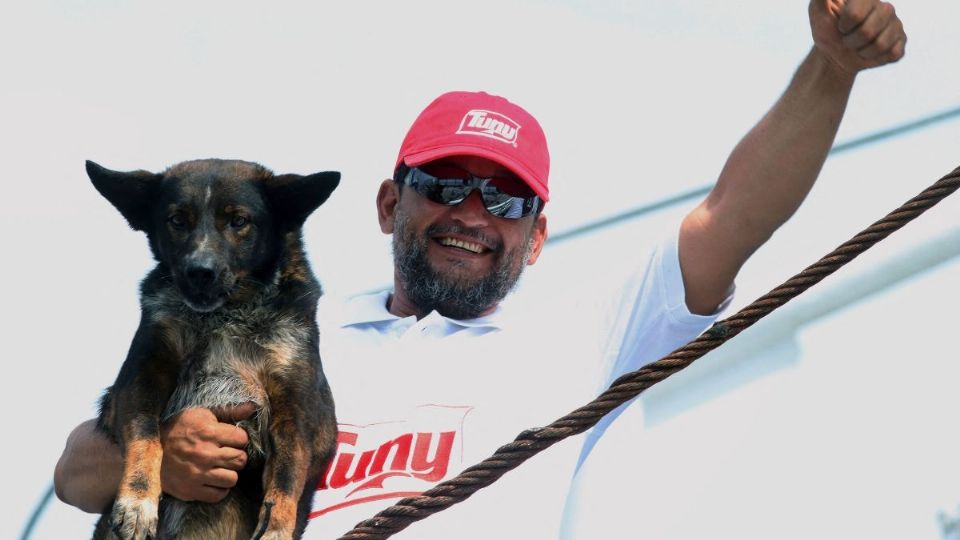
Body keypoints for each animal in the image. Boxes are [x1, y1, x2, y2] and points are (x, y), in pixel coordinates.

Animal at [86, 158, 340, 536]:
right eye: (177, 220)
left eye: (239, 221)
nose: (199, 272)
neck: (225, 317)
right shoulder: (140, 377)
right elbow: (145, 436)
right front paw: (137, 502)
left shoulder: (299, 410)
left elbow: (287, 475)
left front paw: (277, 527)